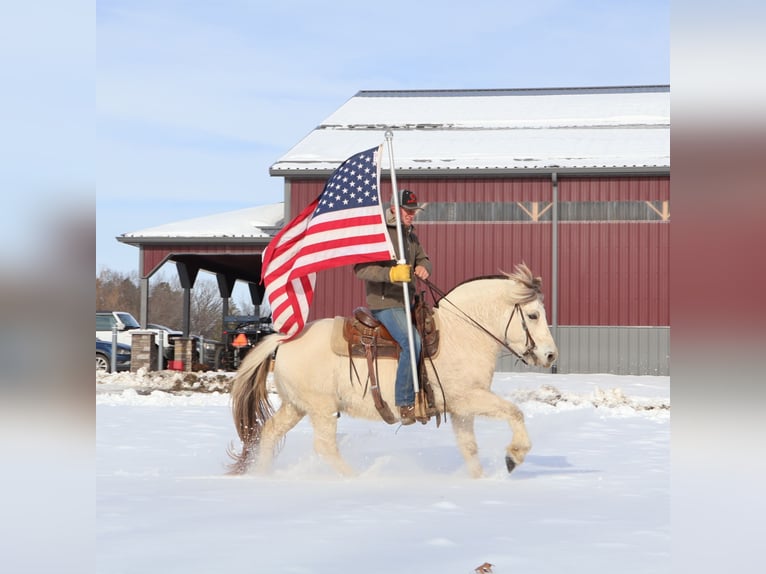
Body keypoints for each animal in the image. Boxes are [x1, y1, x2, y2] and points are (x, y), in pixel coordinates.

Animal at [227, 263, 558, 479]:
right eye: (533, 315)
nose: (550, 354)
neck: (462, 332)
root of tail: (283, 340)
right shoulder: (468, 398)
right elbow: (514, 412)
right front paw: (514, 455)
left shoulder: (461, 410)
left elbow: (469, 448)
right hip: (321, 408)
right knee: (324, 447)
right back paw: (359, 479)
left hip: (295, 406)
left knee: (270, 432)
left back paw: (263, 475)